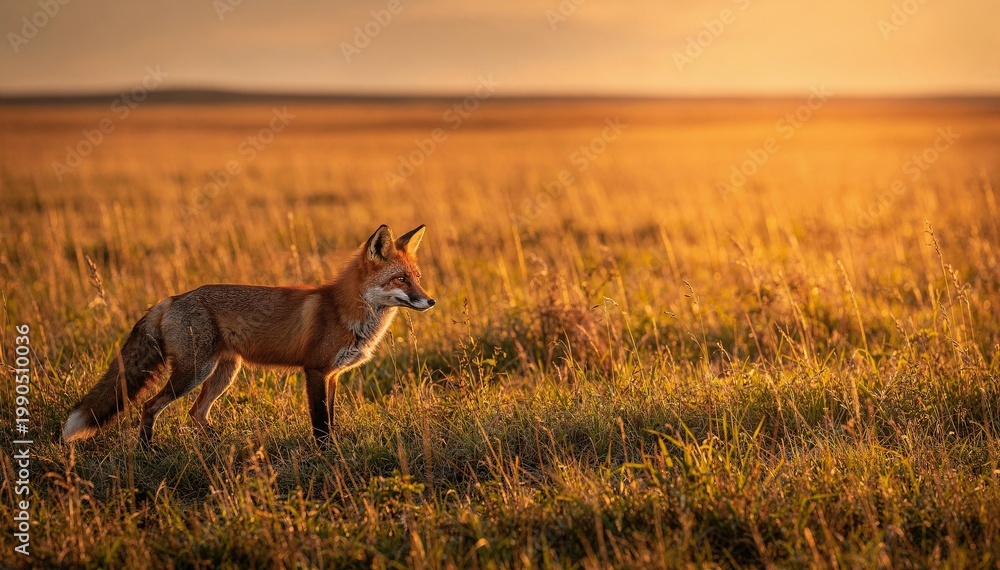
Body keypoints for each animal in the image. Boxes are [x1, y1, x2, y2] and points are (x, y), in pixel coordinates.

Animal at [62, 224, 435, 449]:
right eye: (400, 279)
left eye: (416, 278)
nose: (430, 301)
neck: (348, 311)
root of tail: (171, 298)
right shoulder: (315, 370)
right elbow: (319, 423)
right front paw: (324, 455)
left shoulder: (333, 375)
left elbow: (330, 419)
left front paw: (335, 448)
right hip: (193, 372)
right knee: (150, 406)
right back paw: (147, 450)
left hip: (223, 372)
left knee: (196, 413)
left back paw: (217, 447)